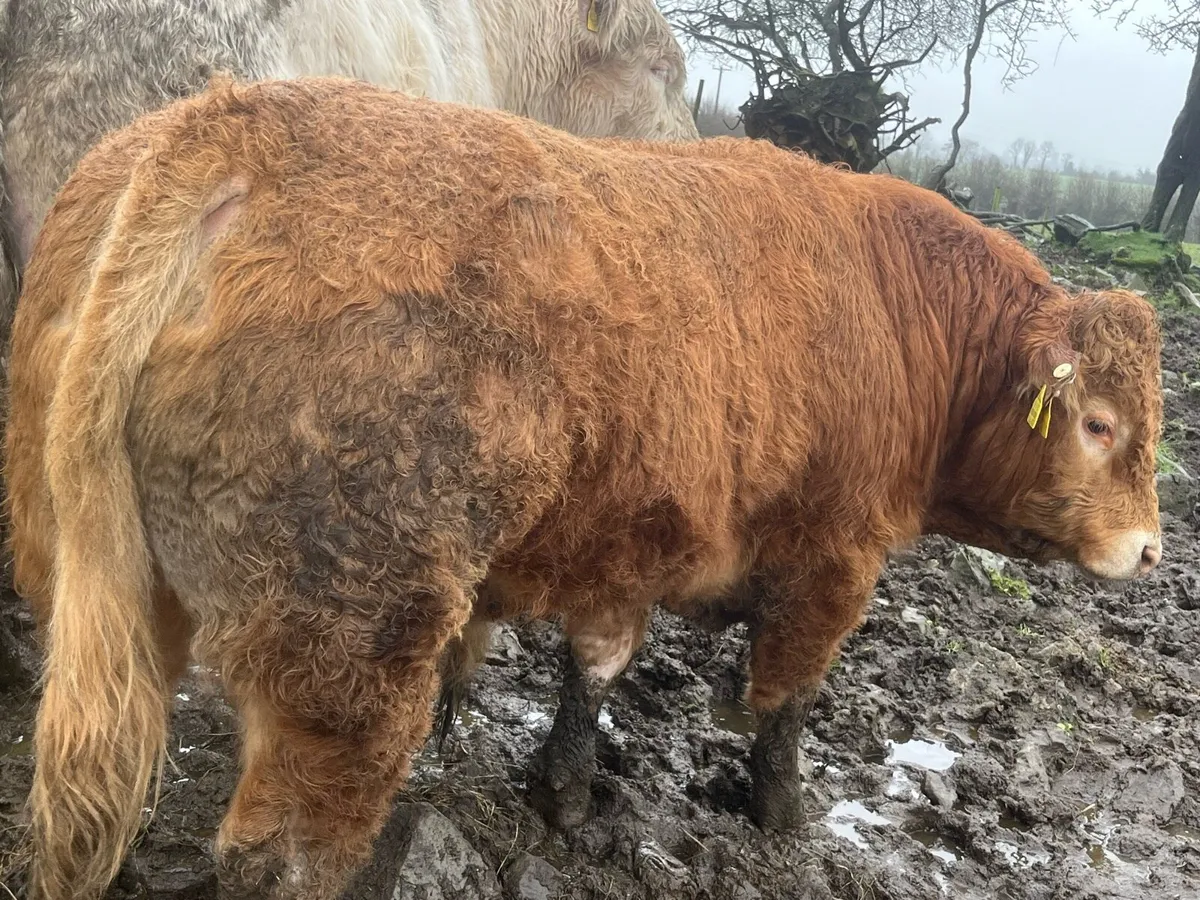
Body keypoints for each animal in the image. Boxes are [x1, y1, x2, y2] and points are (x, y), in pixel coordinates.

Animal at [8, 77, 1162, 900]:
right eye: (1099, 425)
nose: (1152, 550)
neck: (901, 317)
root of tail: (230, 124)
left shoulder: (626, 541)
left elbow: (596, 666)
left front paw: (562, 792)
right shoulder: (835, 558)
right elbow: (785, 703)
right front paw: (783, 818)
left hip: (102, 587)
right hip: (348, 644)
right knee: (282, 853)